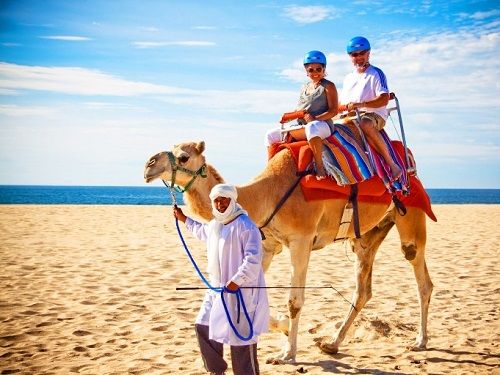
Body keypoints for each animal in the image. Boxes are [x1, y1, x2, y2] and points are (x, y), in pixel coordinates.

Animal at [145, 141, 434, 364]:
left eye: (184, 156)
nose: (149, 164)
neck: (266, 195)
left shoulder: (301, 240)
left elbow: (294, 301)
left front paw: (288, 353)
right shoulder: (267, 245)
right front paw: (282, 329)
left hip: (410, 213)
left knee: (421, 277)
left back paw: (419, 341)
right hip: (366, 236)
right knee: (363, 289)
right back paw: (332, 343)